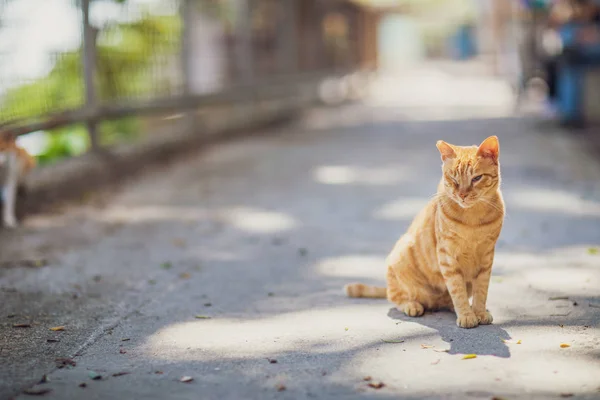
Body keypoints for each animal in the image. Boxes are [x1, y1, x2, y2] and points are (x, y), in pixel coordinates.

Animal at [344, 136, 504, 330]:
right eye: (453, 179)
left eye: (477, 178)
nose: (462, 195)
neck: (472, 218)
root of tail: (435, 302)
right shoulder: (447, 256)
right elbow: (457, 289)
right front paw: (466, 315)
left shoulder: (486, 256)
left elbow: (481, 289)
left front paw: (479, 312)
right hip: (400, 255)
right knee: (396, 296)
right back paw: (412, 305)